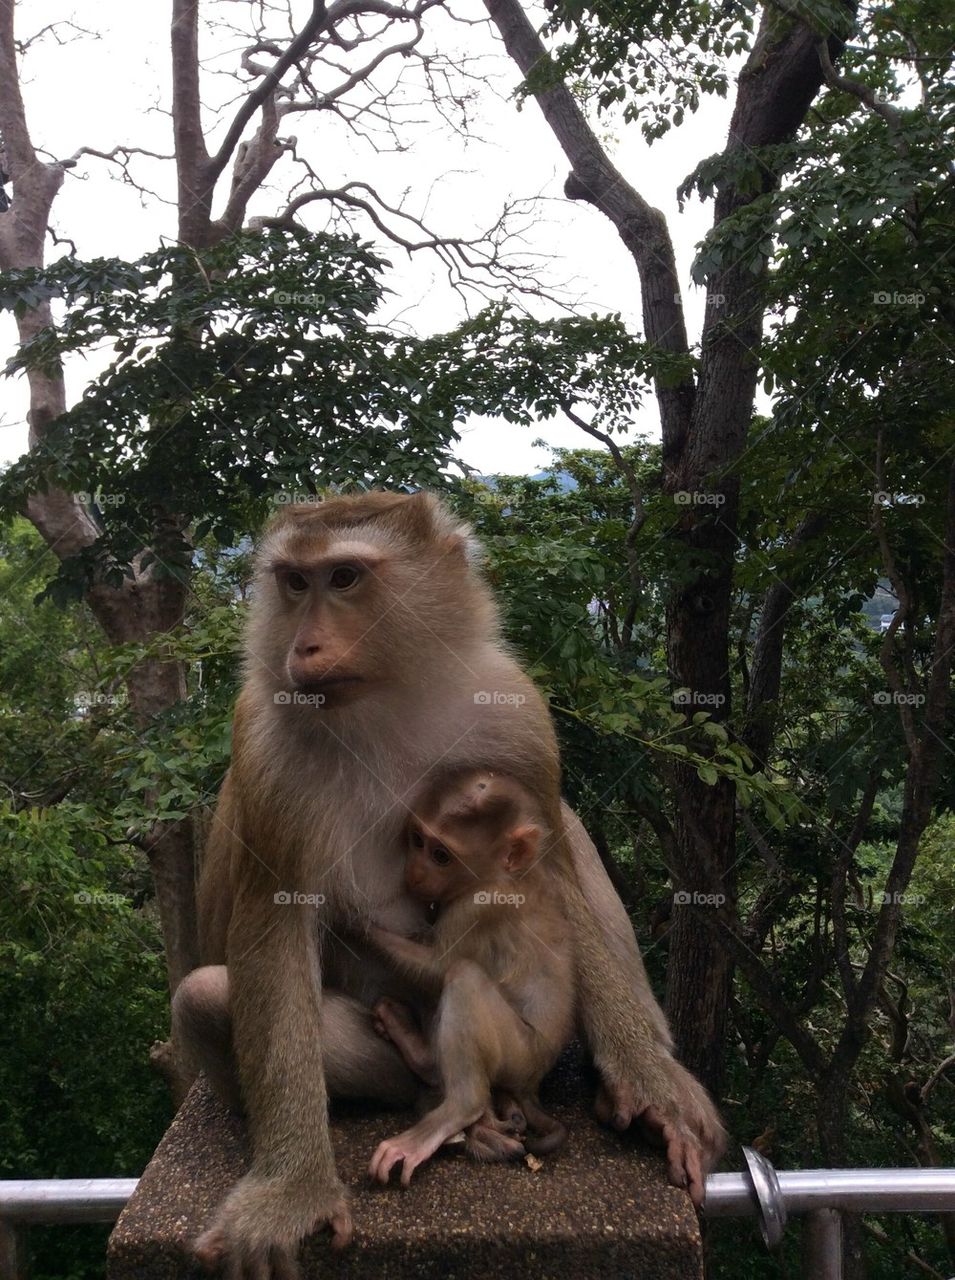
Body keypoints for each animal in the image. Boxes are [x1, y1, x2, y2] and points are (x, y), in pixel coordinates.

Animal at [364, 768, 573, 1185]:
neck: (504, 876)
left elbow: (437, 966)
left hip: (521, 1054)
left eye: (441, 856)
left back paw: (455, 1107)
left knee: (463, 977)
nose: (414, 872)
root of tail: (532, 1084)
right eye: (417, 841)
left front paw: (347, 920)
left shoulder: (479, 908)